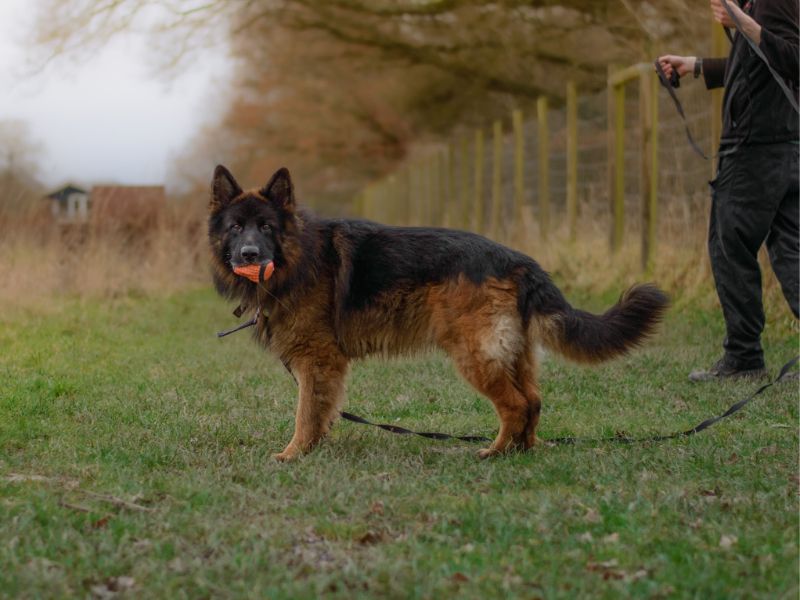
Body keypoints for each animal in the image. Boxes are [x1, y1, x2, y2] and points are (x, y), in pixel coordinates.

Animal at [208, 164, 668, 460]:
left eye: (266, 227)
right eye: (236, 227)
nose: (249, 254)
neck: (298, 256)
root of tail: (519, 260)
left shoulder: (317, 361)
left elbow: (305, 413)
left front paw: (293, 454)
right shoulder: (323, 366)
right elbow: (320, 412)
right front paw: (314, 448)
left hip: (474, 355)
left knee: (516, 405)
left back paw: (496, 452)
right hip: (513, 354)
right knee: (534, 400)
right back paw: (524, 451)